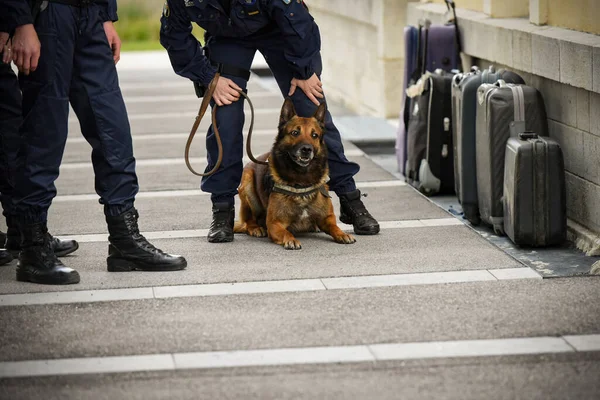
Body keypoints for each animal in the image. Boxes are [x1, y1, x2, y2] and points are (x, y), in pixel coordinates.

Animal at [233, 98, 356, 250]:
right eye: (295, 133)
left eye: (314, 135)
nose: (306, 149)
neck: (302, 179)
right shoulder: (274, 224)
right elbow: (286, 232)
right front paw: (291, 240)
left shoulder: (328, 218)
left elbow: (335, 227)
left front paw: (342, 234)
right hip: (248, 183)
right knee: (248, 221)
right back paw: (256, 228)